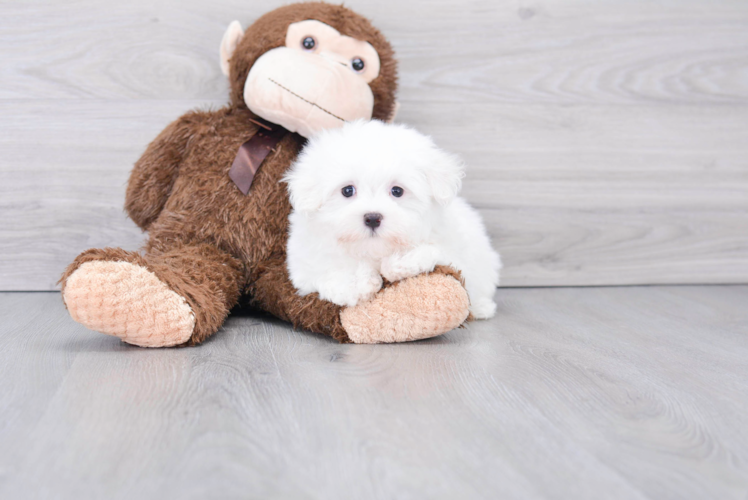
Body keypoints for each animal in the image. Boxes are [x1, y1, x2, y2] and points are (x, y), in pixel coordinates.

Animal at [284, 119, 502, 318]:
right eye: (347, 190)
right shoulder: (304, 266)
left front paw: (401, 260)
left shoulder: (453, 247)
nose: (373, 218)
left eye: (397, 191)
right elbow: (327, 271)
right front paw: (357, 281)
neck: (373, 252)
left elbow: (437, 251)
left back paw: (482, 307)